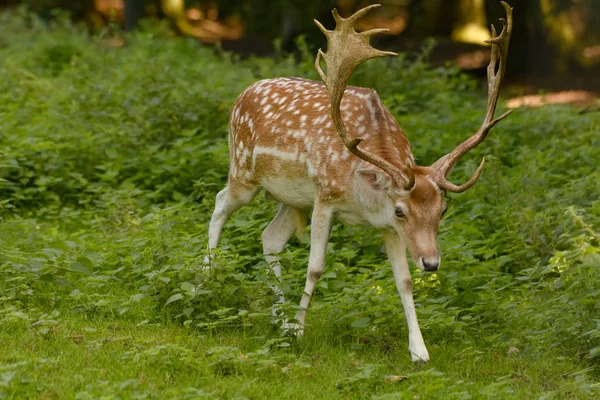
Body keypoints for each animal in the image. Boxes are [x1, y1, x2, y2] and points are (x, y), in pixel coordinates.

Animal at [209, 1, 512, 362]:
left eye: (443, 210)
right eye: (400, 210)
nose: (432, 262)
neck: (363, 198)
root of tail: (241, 95)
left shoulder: (385, 228)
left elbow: (404, 280)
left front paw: (420, 351)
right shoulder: (325, 198)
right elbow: (315, 267)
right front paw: (299, 332)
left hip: (292, 199)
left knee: (269, 237)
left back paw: (278, 320)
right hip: (243, 171)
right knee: (219, 203)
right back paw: (205, 282)